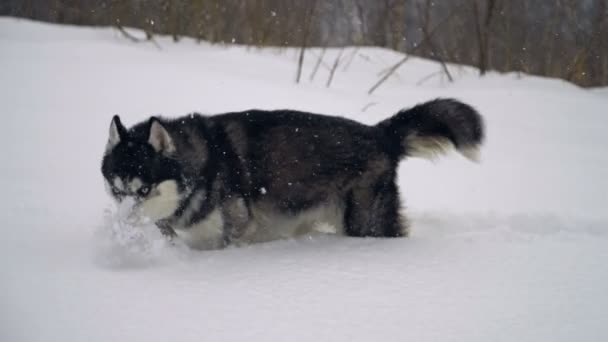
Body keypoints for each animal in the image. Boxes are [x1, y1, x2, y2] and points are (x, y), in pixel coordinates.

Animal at [103, 98, 484, 248]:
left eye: (143, 190)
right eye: (117, 190)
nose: (122, 226)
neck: (200, 167)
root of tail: (379, 134)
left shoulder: (234, 230)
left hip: (365, 223)